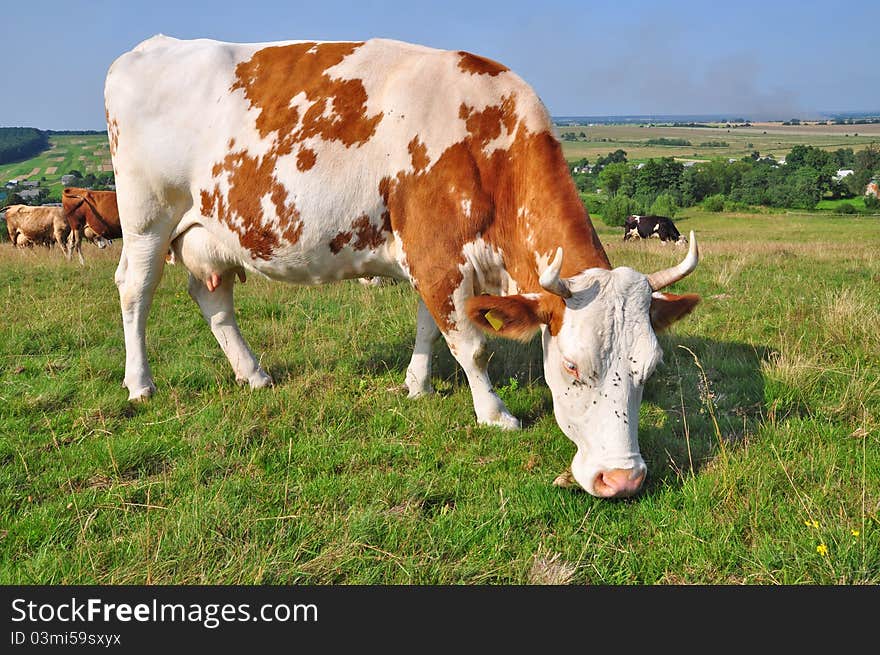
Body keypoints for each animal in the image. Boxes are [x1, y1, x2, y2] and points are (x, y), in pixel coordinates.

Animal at [105, 36, 700, 498]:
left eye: (650, 368)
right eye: (573, 367)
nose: (621, 480)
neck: (487, 136)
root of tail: (148, 48)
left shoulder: (430, 259)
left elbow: (429, 328)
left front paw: (417, 385)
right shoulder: (438, 256)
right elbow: (471, 345)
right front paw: (495, 414)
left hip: (209, 235)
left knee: (213, 298)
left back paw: (253, 375)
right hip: (146, 219)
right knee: (135, 291)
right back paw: (140, 384)